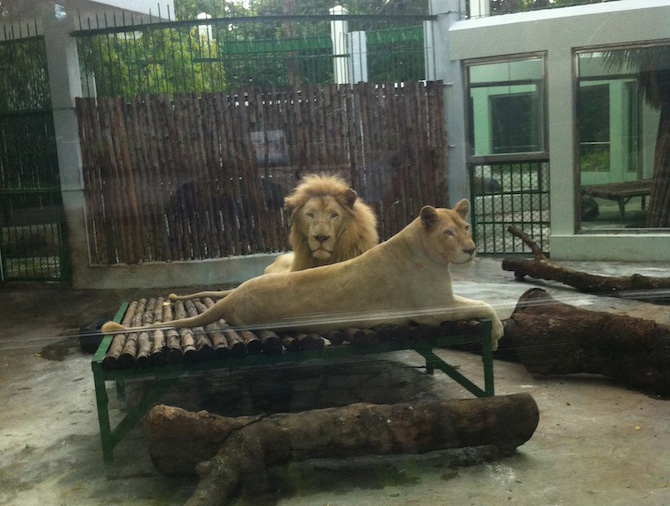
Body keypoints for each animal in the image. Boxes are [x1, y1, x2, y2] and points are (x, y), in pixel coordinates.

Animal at [103, 200, 504, 350]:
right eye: (448, 233)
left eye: (466, 227)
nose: (471, 249)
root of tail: (233, 296)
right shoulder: (434, 308)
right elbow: (482, 305)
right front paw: (498, 331)